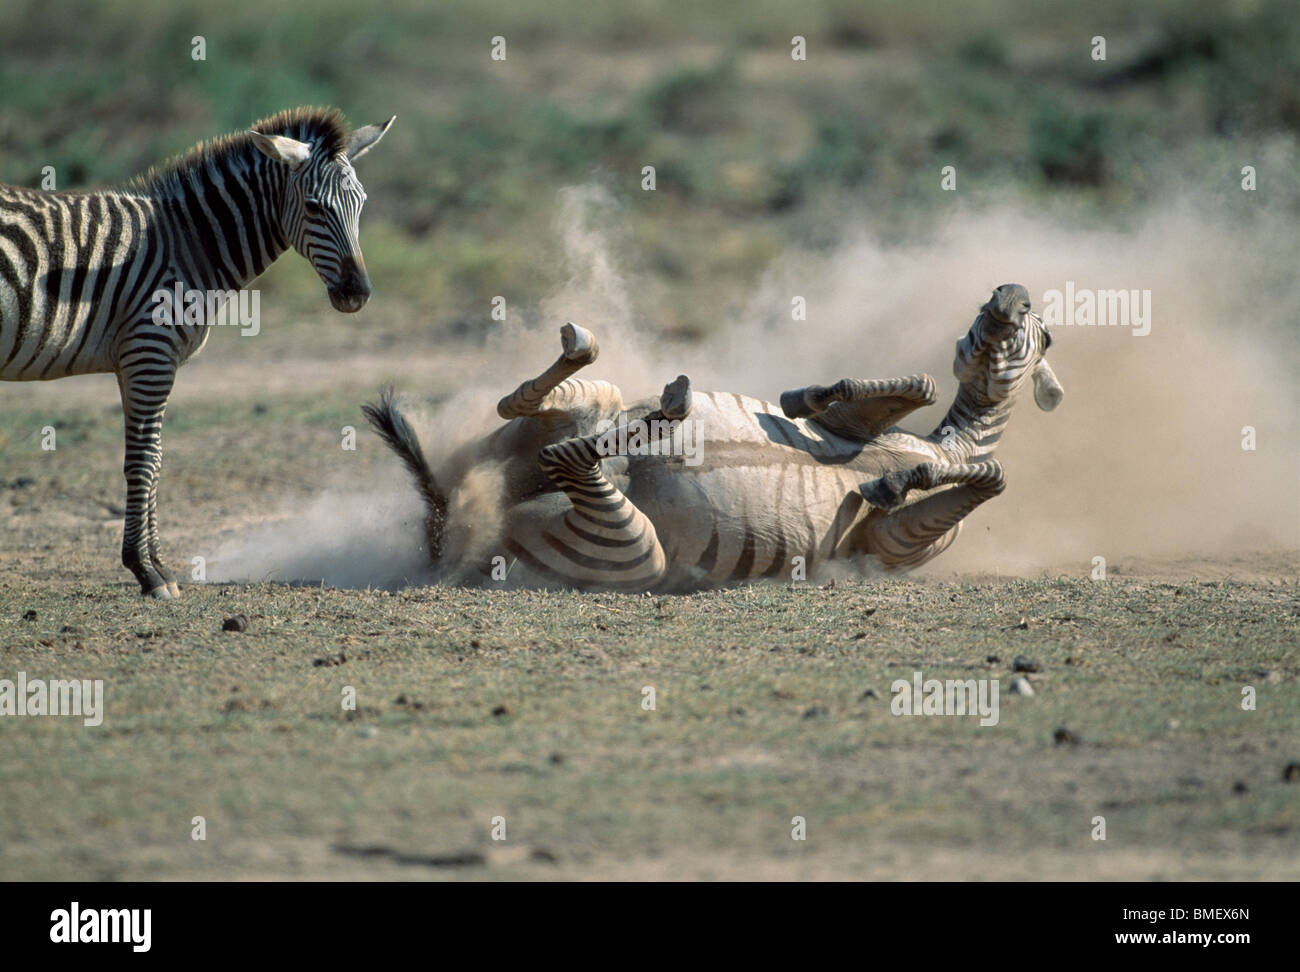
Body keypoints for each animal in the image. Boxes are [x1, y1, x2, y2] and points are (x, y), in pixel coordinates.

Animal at [2, 109, 392, 600]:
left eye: (361, 205)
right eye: (314, 208)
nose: (358, 293)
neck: (190, 243)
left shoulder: (135, 361)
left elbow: (154, 459)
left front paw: (156, 565)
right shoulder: (150, 351)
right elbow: (145, 460)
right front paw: (148, 572)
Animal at [361, 276, 1060, 587]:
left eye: (1042, 331)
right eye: (988, 309)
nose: (1009, 292)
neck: (947, 444)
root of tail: (449, 527)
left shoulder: (888, 546)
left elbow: (991, 476)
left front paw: (898, 481)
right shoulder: (846, 429)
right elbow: (921, 386)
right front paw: (803, 394)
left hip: (634, 551)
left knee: (568, 456)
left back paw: (664, 413)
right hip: (580, 430)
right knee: (526, 410)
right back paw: (615, 374)